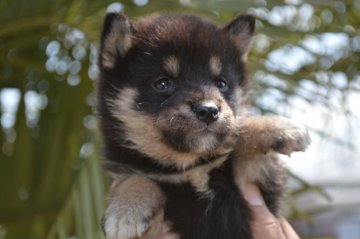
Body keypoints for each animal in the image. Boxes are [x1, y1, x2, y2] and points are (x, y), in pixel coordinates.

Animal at [97, 12, 310, 239]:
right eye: (162, 83)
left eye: (221, 84)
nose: (209, 111)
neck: (190, 166)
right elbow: (136, 178)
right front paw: (126, 209)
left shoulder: (255, 183)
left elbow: (239, 135)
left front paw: (279, 127)